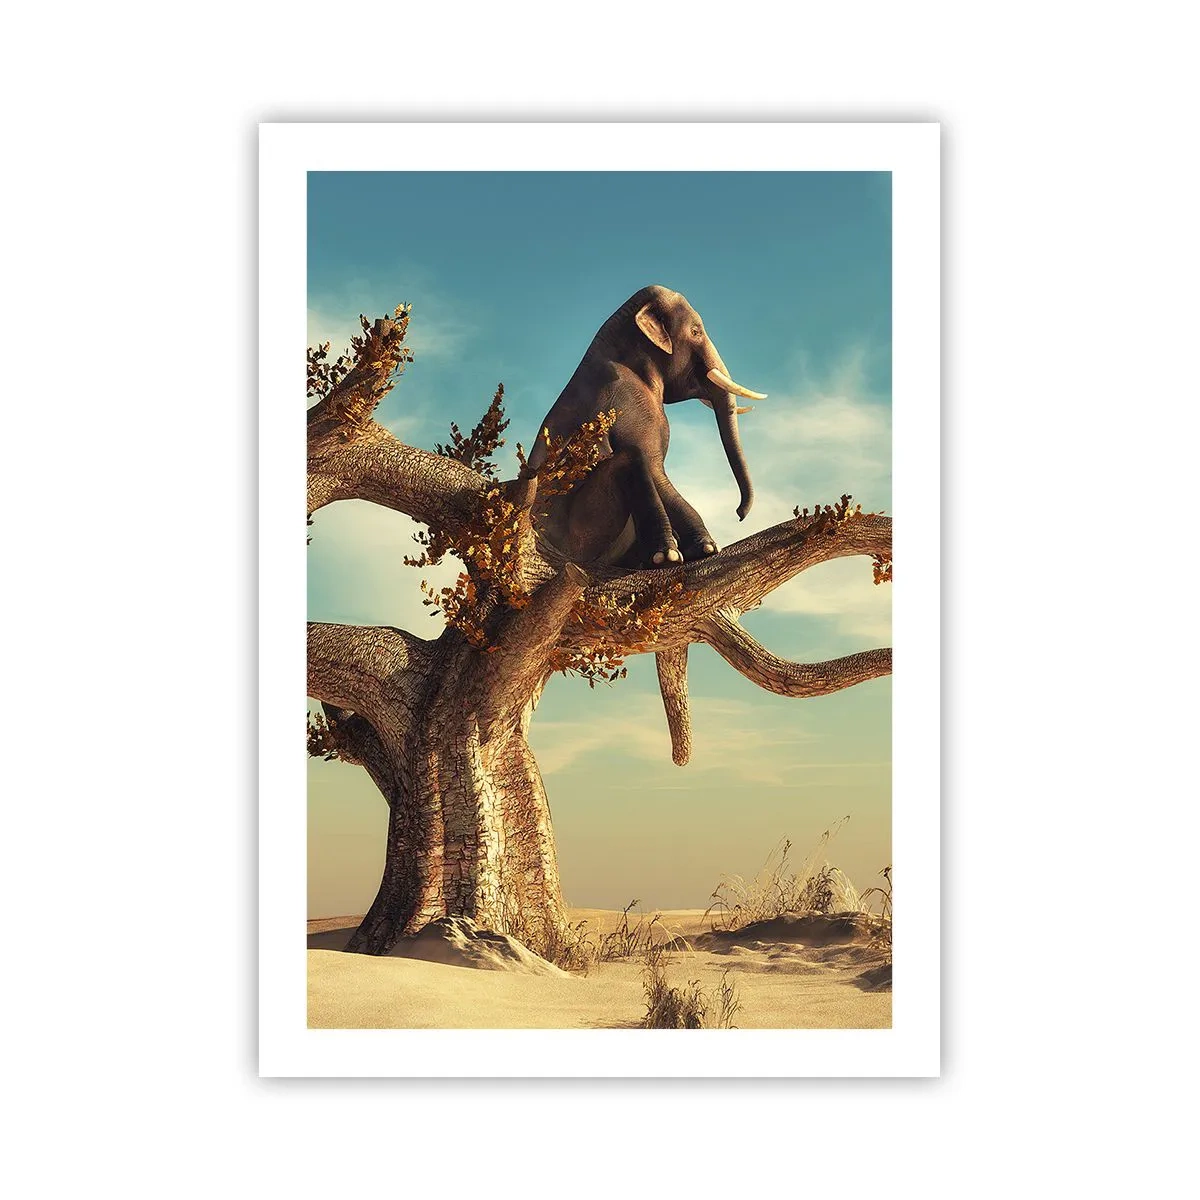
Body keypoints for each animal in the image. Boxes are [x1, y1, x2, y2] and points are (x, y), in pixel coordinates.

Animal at [526, 285, 767, 569]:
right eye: (696, 331)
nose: (739, 514)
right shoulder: (629, 403)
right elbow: (654, 467)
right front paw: (703, 550)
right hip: (579, 533)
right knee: (629, 458)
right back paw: (662, 556)